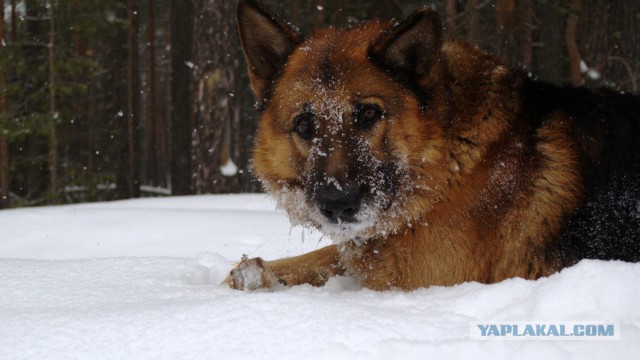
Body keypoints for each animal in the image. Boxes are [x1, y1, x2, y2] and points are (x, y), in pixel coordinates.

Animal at [229, 0, 640, 292]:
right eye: (304, 125)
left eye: (368, 114)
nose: (338, 204)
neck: (449, 159)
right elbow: (319, 258)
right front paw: (250, 274)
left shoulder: (415, 275)